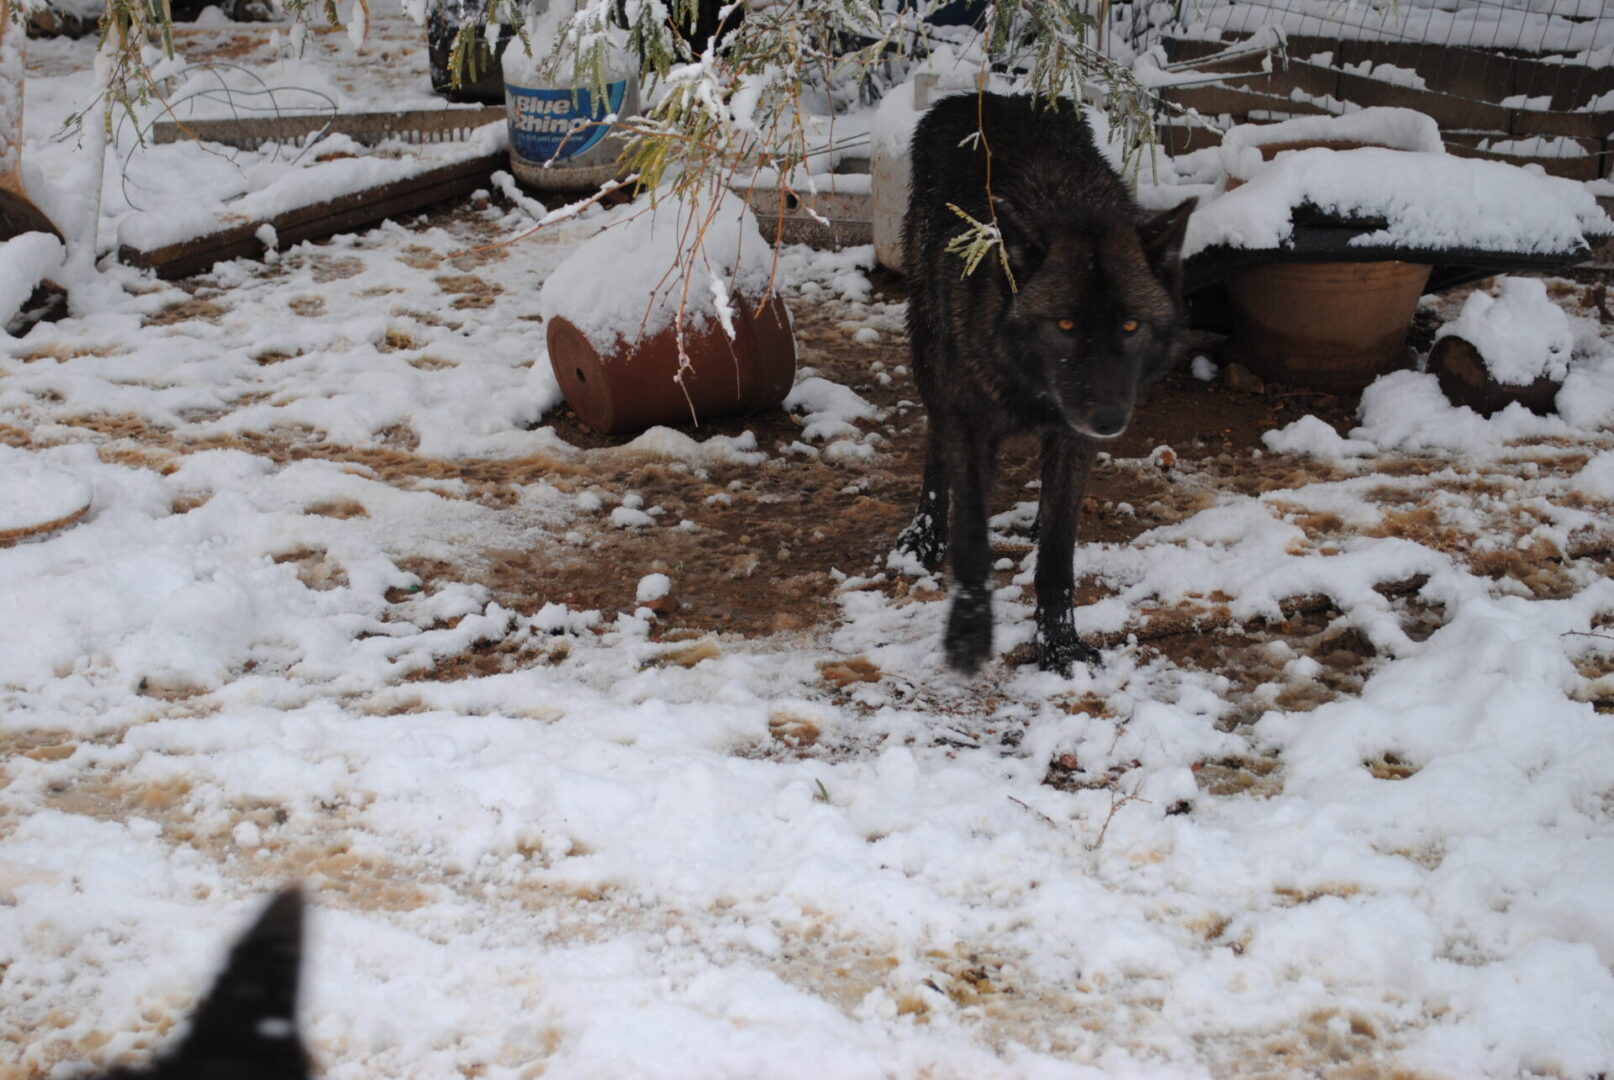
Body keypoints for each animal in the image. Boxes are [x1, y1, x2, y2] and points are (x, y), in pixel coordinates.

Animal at [897, 90, 1200, 674]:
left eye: (1131, 326)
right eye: (1064, 325)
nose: (1109, 420)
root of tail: (993, 95)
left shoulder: (1074, 436)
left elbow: (1060, 550)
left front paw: (1060, 644)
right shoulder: (971, 422)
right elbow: (971, 529)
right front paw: (969, 632)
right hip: (928, 351)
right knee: (935, 443)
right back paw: (925, 532)